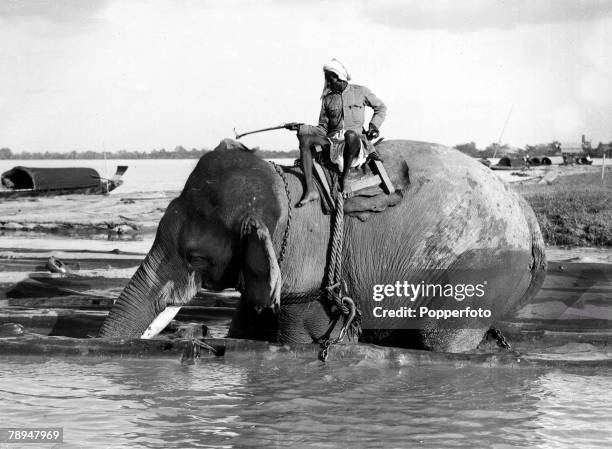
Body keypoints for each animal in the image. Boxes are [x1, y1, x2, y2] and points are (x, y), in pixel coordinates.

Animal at [98, 138, 548, 352]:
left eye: (196, 257)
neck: (282, 182)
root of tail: (530, 220)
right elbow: (246, 327)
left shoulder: (307, 270)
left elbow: (299, 340)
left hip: (485, 269)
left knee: (441, 339)